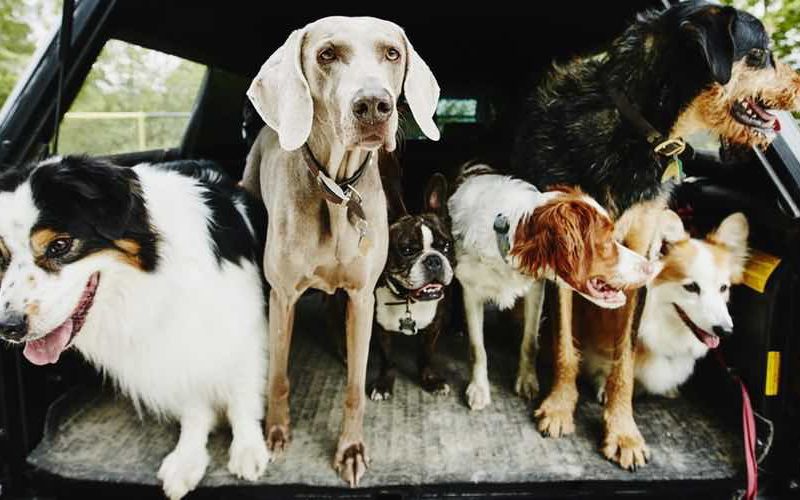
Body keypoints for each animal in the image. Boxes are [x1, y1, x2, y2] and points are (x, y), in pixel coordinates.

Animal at [0, 155, 270, 496]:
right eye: (2, 257)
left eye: (59, 245)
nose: (8, 327)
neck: (155, 274)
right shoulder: (173, 344)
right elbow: (193, 405)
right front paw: (188, 457)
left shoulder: (242, 328)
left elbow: (242, 394)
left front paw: (248, 449)